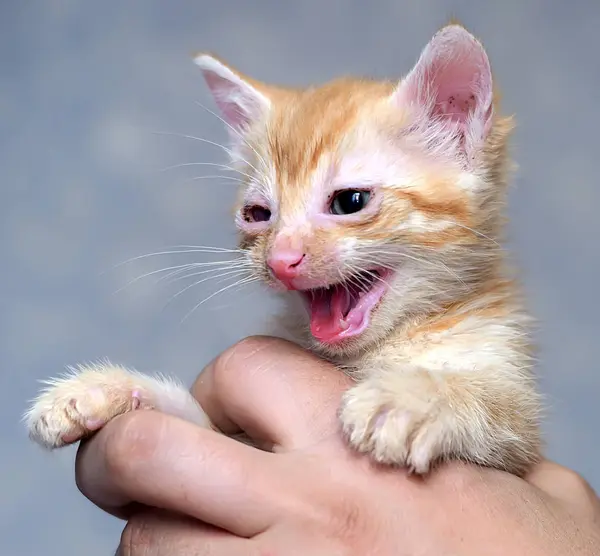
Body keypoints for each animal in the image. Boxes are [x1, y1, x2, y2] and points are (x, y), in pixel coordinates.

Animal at [25, 21, 544, 474]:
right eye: (258, 214)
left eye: (350, 201)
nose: (280, 260)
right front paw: (104, 389)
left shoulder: (520, 440)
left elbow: (498, 408)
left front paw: (410, 399)